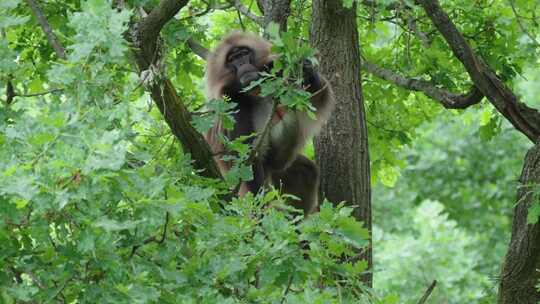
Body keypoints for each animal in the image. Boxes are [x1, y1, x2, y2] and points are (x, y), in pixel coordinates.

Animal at [206, 31, 336, 216]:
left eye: (244, 54)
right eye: (232, 59)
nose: (242, 63)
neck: (254, 91)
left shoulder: (275, 70)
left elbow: (317, 97)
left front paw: (306, 69)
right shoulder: (233, 103)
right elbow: (246, 156)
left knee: (306, 171)